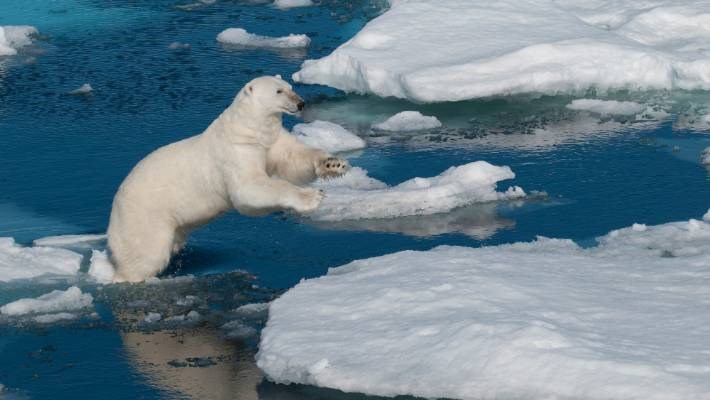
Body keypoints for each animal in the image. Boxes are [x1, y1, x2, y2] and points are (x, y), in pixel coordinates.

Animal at [107, 75, 350, 282]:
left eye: (290, 87)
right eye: (279, 91)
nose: (301, 104)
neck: (249, 129)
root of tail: (116, 203)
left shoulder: (271, 141)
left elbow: (293, 159)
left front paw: (334, 164)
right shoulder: (236, 151)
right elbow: (248, 189)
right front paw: (313, 196)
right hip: (145, 215)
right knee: (146, 253)